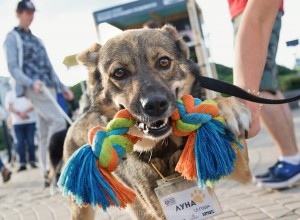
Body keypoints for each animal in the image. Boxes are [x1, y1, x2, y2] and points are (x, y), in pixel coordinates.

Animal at [64, 24, 252, 220]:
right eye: (119, 73)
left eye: (163, 62)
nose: (154, 105)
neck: (166, 147)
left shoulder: (241, 170)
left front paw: (229, 107)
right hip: (86, 207)